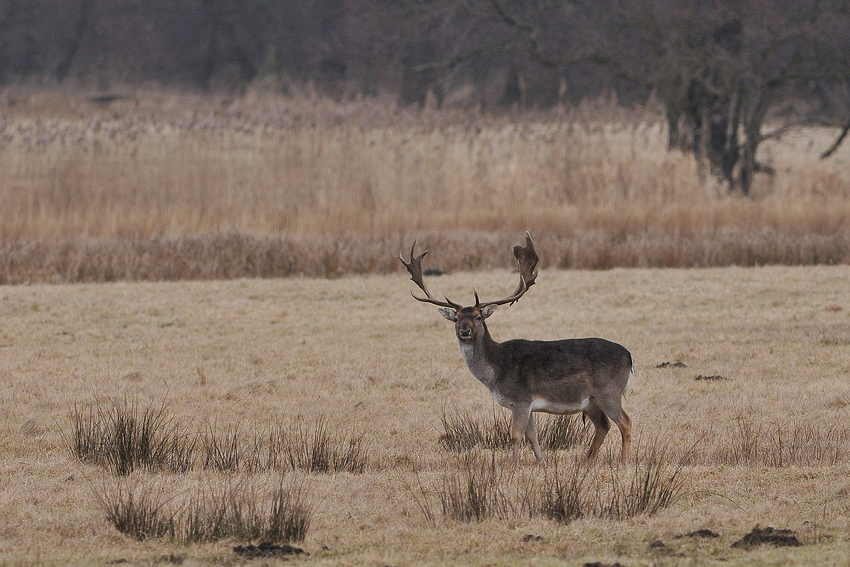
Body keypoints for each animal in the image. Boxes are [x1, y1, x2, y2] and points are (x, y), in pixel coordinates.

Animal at [398, 233, 628, 464]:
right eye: (456, 318)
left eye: (478, 317)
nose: (465, 330)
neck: (497, 371)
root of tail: (630, 357)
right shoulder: (528, 404)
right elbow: (532, 435)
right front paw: (542, 463)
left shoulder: (521, 398)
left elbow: (516, 435)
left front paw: (512, 464)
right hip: (591, 401)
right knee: (604, 426)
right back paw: (587, 460)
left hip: (609, 391)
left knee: (625, 422)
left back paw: (623, 459)